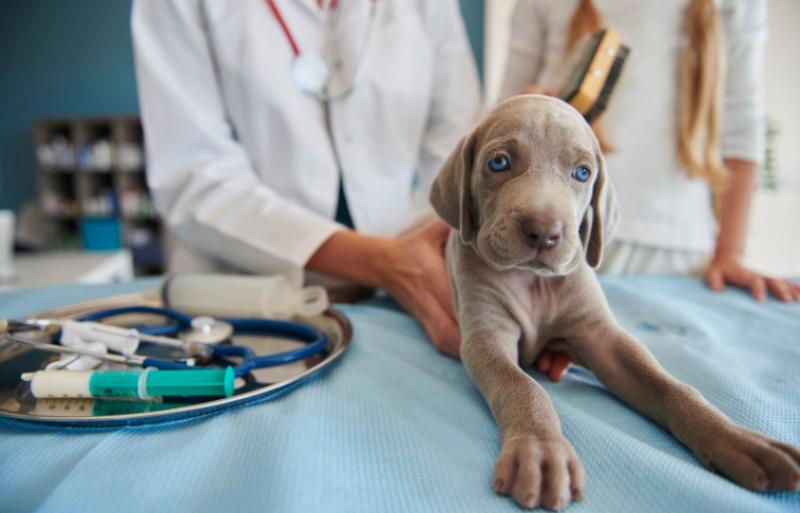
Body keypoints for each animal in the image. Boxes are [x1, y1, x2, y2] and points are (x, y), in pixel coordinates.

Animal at [429, 95, 800, 510]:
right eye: (498, 163)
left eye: (582, 173)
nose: (544, 233)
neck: (533, 282)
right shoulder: (486, 338)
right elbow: (521, 386)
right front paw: (541, 451)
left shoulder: (601, 337)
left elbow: (668, 386)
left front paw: (736, 439)